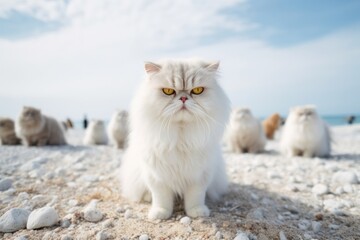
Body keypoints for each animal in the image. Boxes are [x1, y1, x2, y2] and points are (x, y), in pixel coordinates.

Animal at [119, 59, 229, 220]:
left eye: (197, 90)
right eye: (168, 91)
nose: (183, 98)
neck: (180, 138)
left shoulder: (200, 175)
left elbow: (196, 197)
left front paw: (197, 212)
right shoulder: (156, 176)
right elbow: (161, 198)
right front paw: (159, 213)